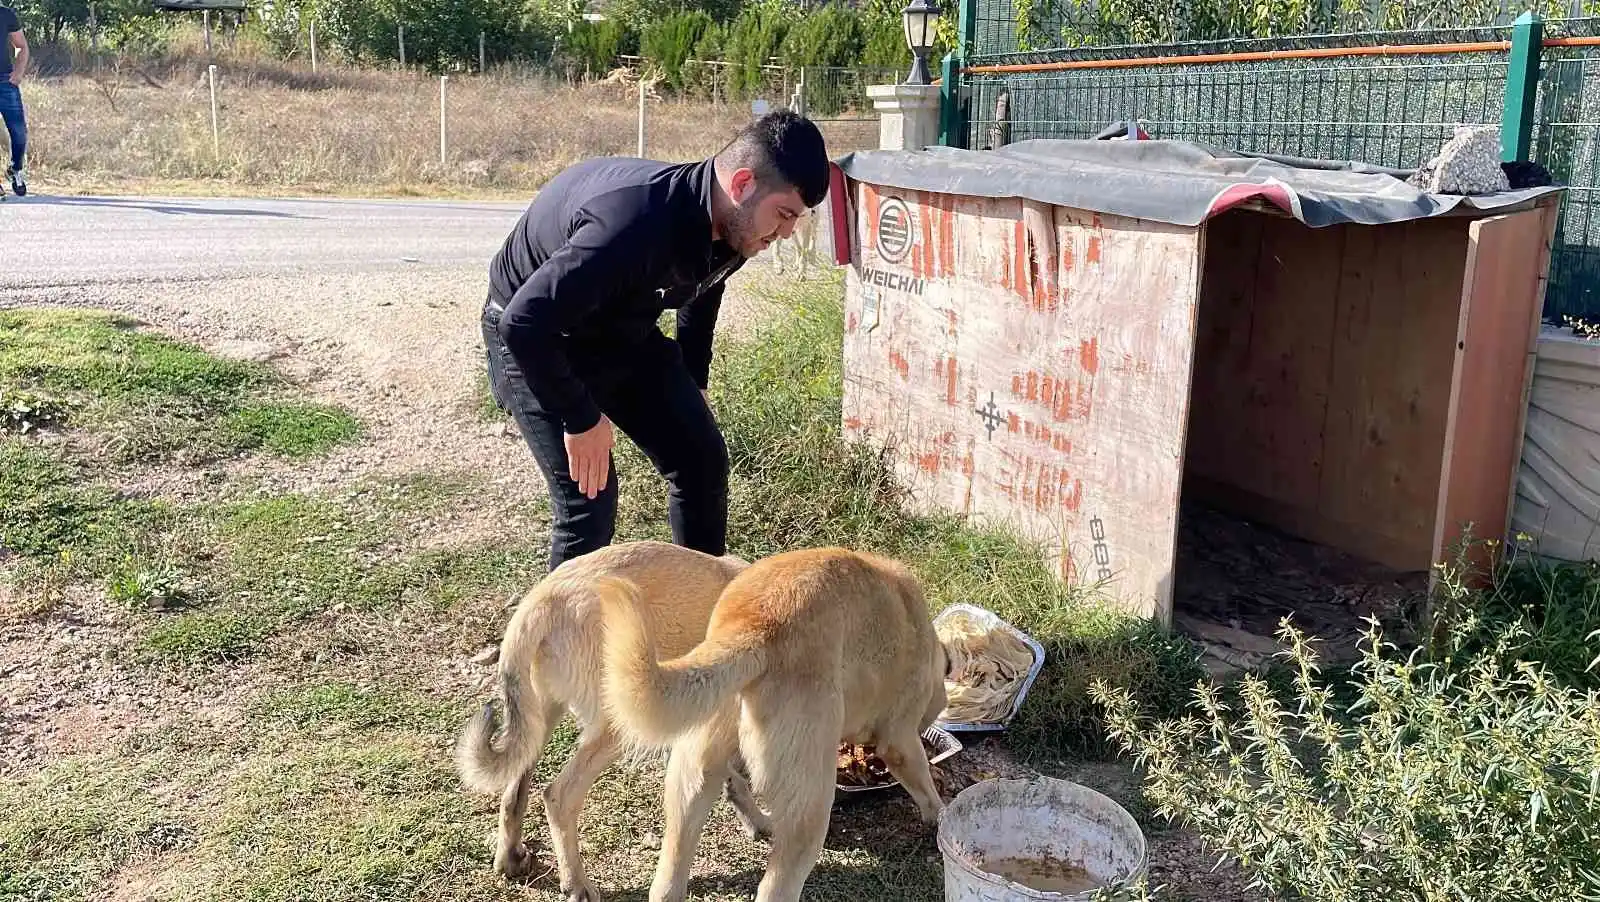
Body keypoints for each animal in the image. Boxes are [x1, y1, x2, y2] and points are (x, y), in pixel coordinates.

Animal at [451, 540, 774, 895]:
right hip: (620, 722)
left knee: (513, 792)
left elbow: (733, 779)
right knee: (558, 797)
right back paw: (576, 885)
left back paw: (509, 858)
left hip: (538, 719)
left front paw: (756, 820)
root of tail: (544, 598)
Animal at [601, 543, 947, 902]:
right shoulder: (900, 740)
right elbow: (924, 783)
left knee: (670, 872)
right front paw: (940, 815)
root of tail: (752, 625)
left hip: (691, 780)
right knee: (777, 884)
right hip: (809, 802)